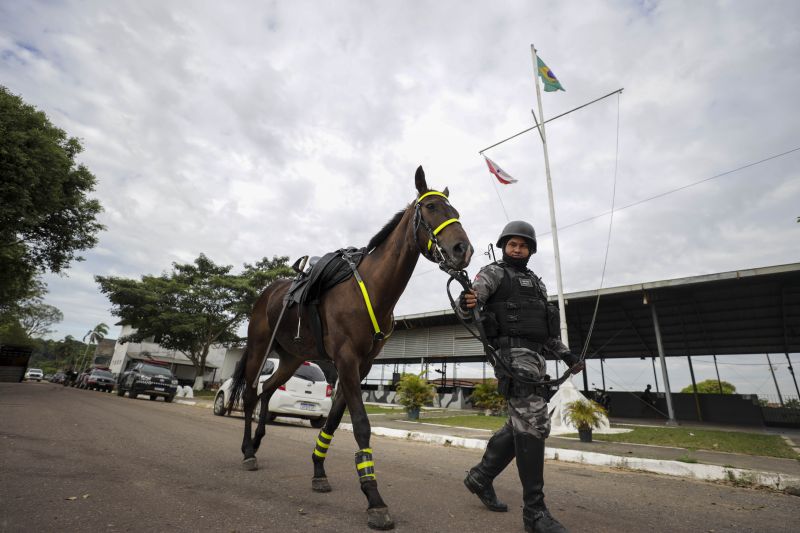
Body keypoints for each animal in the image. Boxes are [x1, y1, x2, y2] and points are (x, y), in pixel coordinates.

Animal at [225, 165, 472, 528]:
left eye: (455, 211)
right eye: (430, 208)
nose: (462, 250)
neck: (370, 288)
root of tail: (267, 293)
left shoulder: (361, 364)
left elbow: (332, 421)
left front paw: (318, 470)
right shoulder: (346, 360)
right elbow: (361, 425)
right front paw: (374, 498)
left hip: (291, 358)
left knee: (269, 390)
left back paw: (256, 443)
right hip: (258, 348)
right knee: (252, 394)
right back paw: (246, 451)